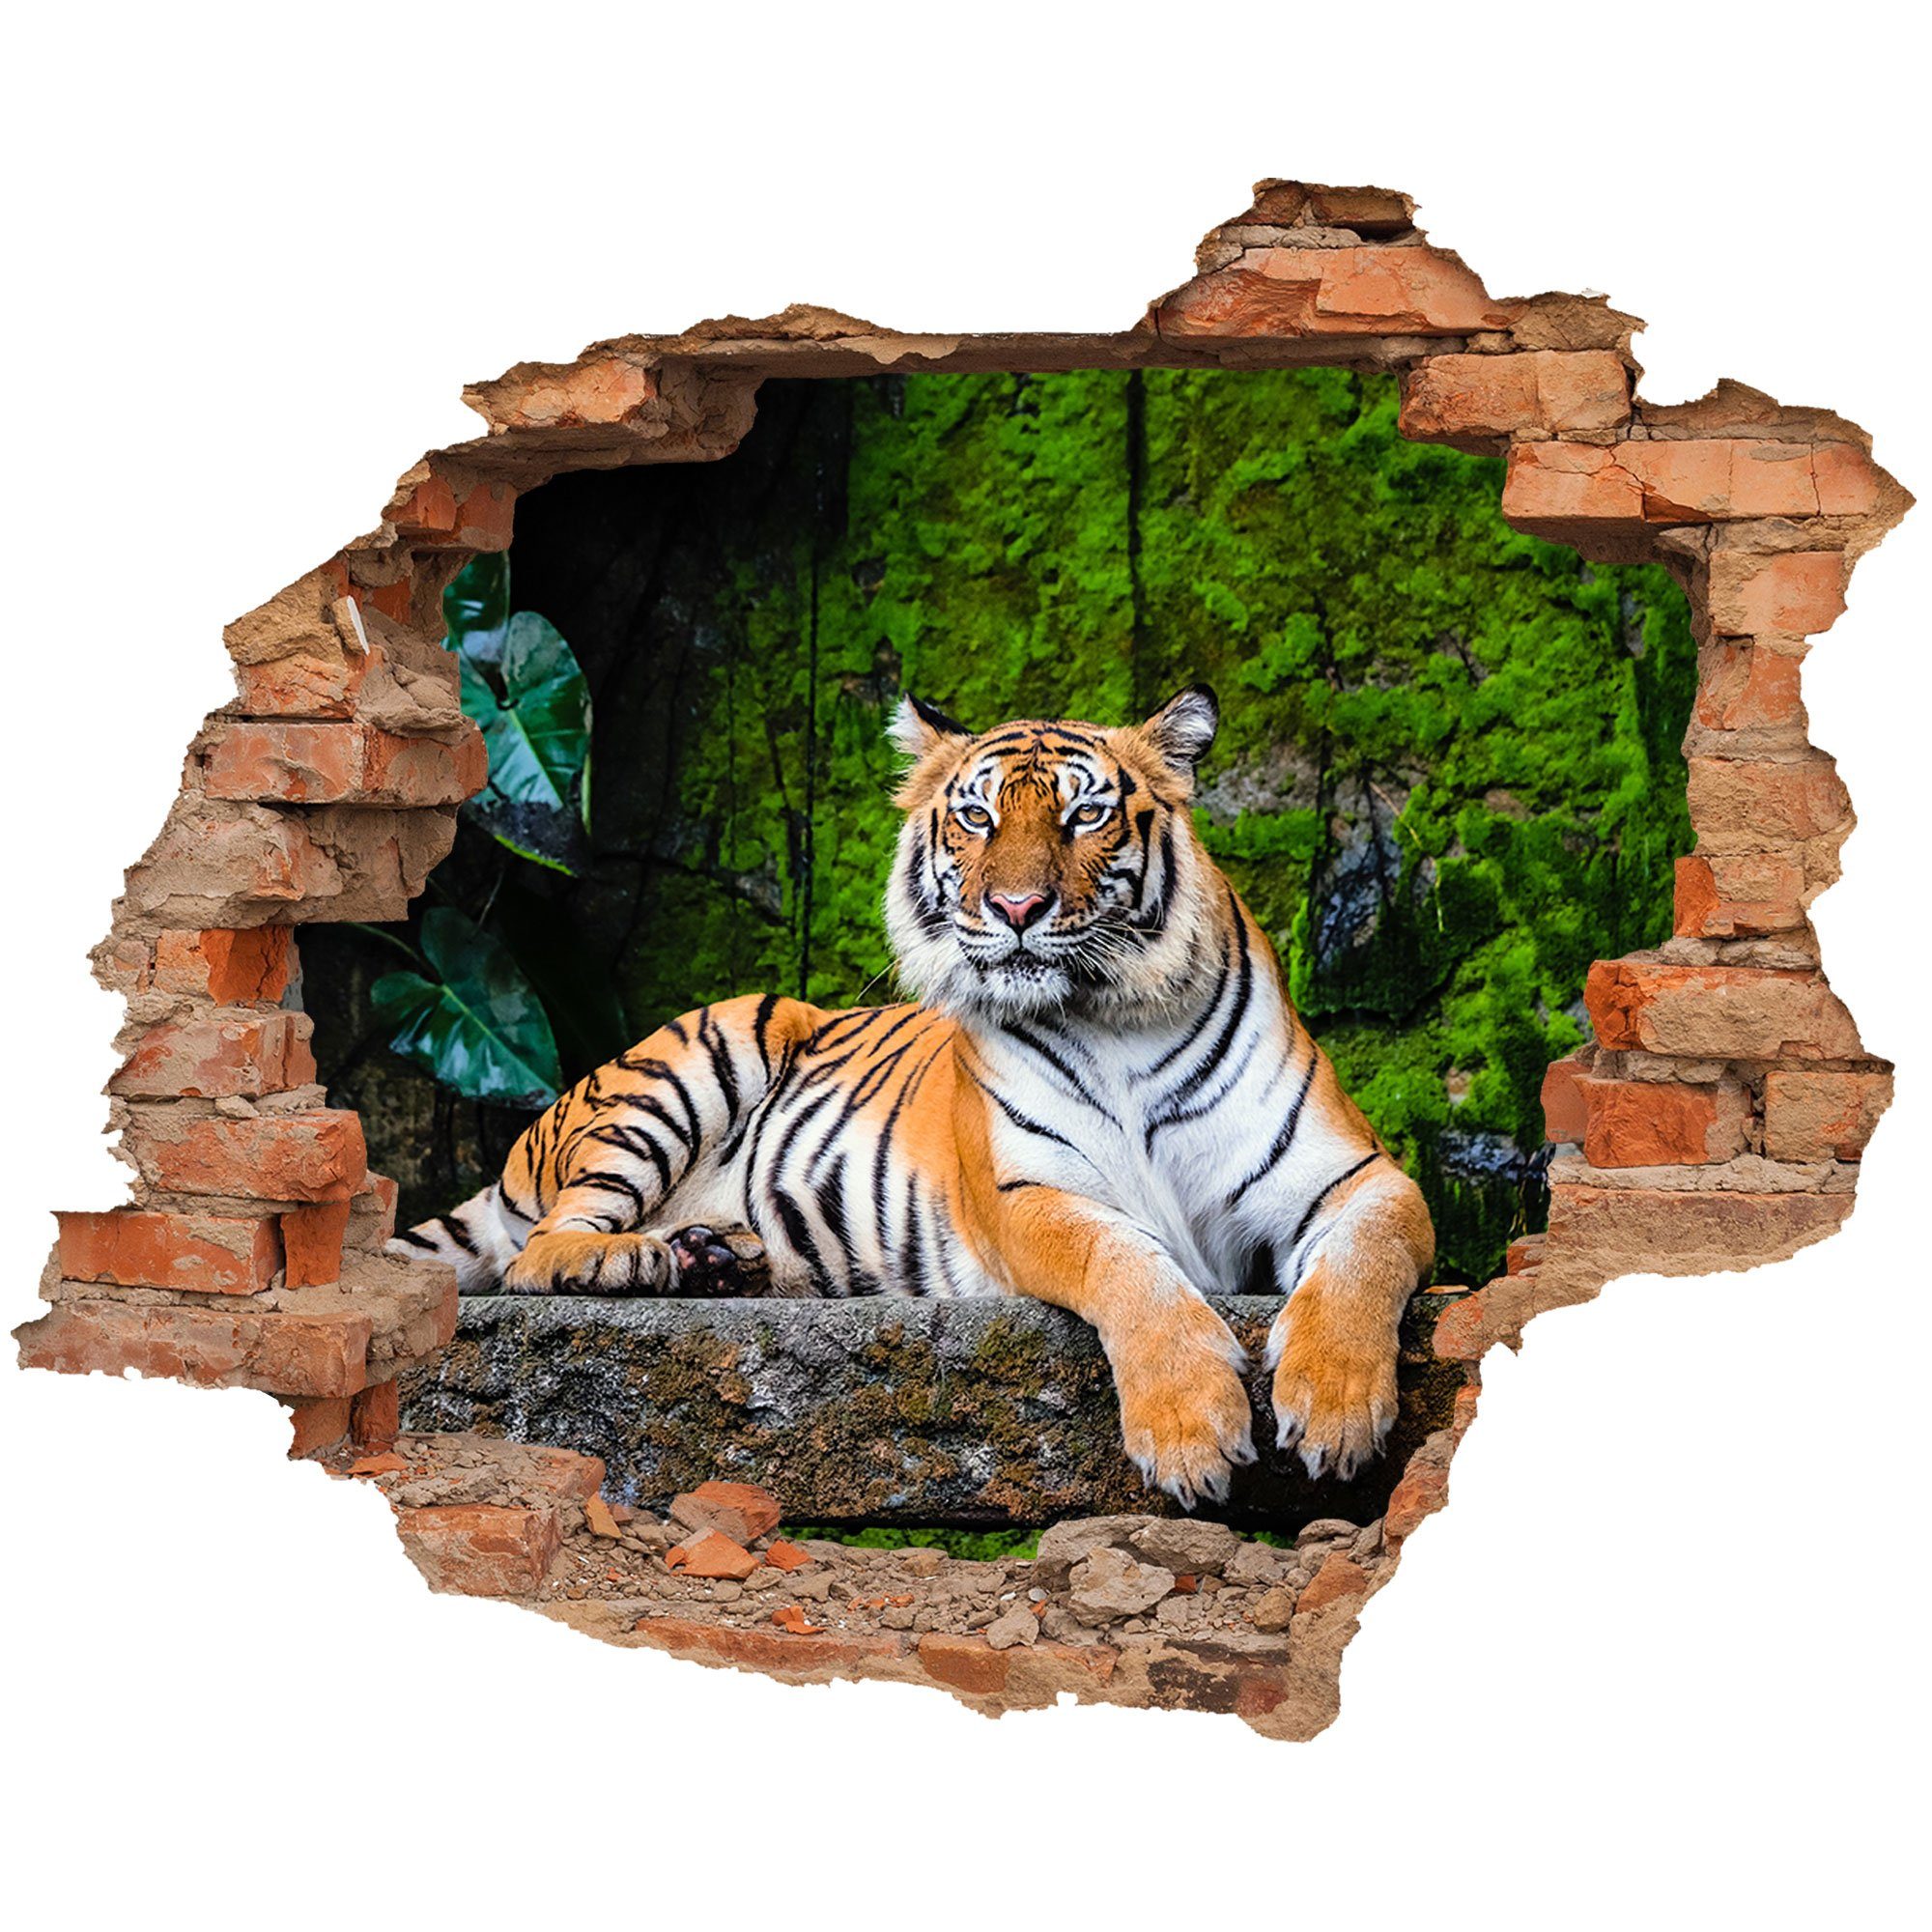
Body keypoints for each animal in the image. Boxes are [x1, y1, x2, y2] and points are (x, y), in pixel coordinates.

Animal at [391, 686, 1436, 1507]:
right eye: (975, 819)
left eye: (1083, 817)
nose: (1016, 909)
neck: (1115, 1017)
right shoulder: (1028, 1197)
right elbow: (1128, 1266)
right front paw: (1191, 1431)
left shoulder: (1357, 1175)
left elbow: (1363, 1260)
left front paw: (1337, 1408)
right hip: (701, 1053)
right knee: (538, 1249)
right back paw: (631, 1260)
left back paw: (715, 1258)